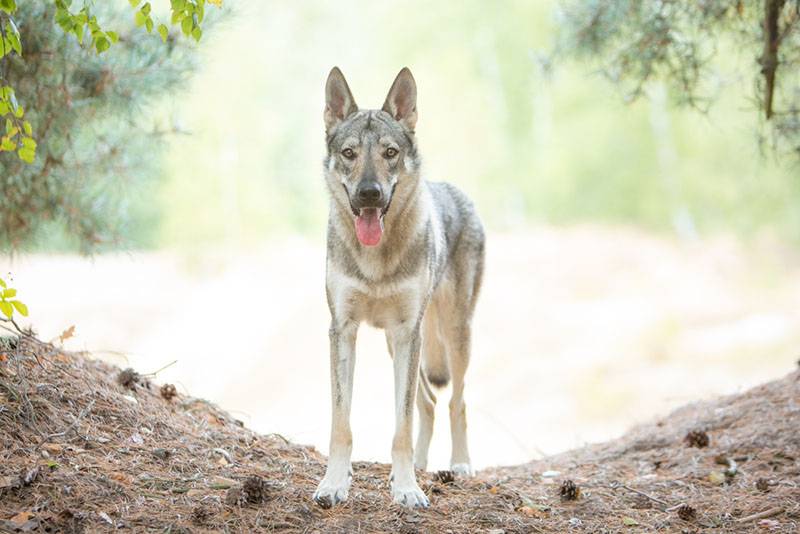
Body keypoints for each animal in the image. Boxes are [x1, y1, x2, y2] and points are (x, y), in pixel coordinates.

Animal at [316, 67, 484, 510]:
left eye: (390, 153)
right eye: (350, 154)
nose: (369, 193)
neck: (377, 258)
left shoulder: (410, 333)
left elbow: (401, 426)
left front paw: (407, 488)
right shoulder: (343, 331)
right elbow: (342, 424)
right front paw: (334, 484)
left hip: (451, 335)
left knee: (456, 402)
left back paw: (459, 464)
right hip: (399, 343)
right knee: (428, 402)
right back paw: (425, 465)